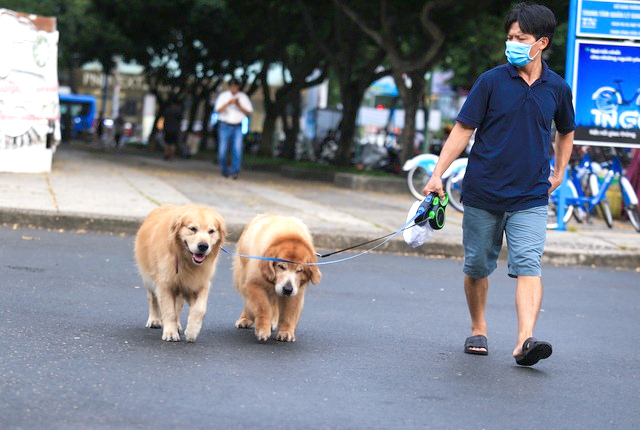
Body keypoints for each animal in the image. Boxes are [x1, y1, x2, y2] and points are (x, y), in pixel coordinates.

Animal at [134, 205, 226, 342]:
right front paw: (170, 333)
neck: (186, 260)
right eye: (193, 229)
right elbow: (169, 311)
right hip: (149, 279)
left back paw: (177, 324)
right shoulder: (165, 285)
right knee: (152, 298)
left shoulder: (200, 284)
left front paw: (192, 331)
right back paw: (155, 320)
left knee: (178, 305)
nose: (203, 246)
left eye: (211, 231)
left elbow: (199, 309)